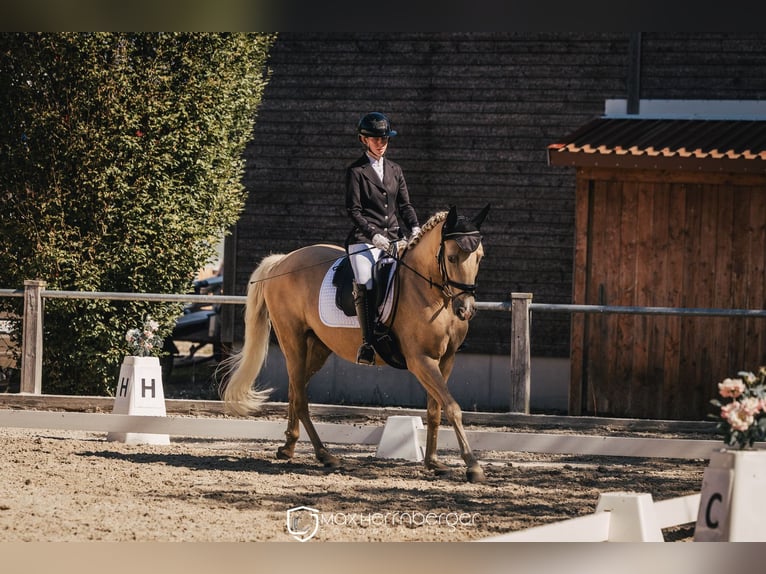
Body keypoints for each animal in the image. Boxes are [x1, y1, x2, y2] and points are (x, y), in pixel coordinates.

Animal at [220, 204, 490, 483]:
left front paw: (433, 462)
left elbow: (436, 410)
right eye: (452, 257)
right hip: (292, 341)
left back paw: (288, 447)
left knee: (295, 390)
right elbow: (453, 407)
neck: (430, 293)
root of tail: (282, 261)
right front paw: (472, 465)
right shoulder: (420, 361)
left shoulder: (446, 359)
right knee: (301, 398)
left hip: (317, 347)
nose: (466, 310)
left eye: (479, 256)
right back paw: (325, 455)